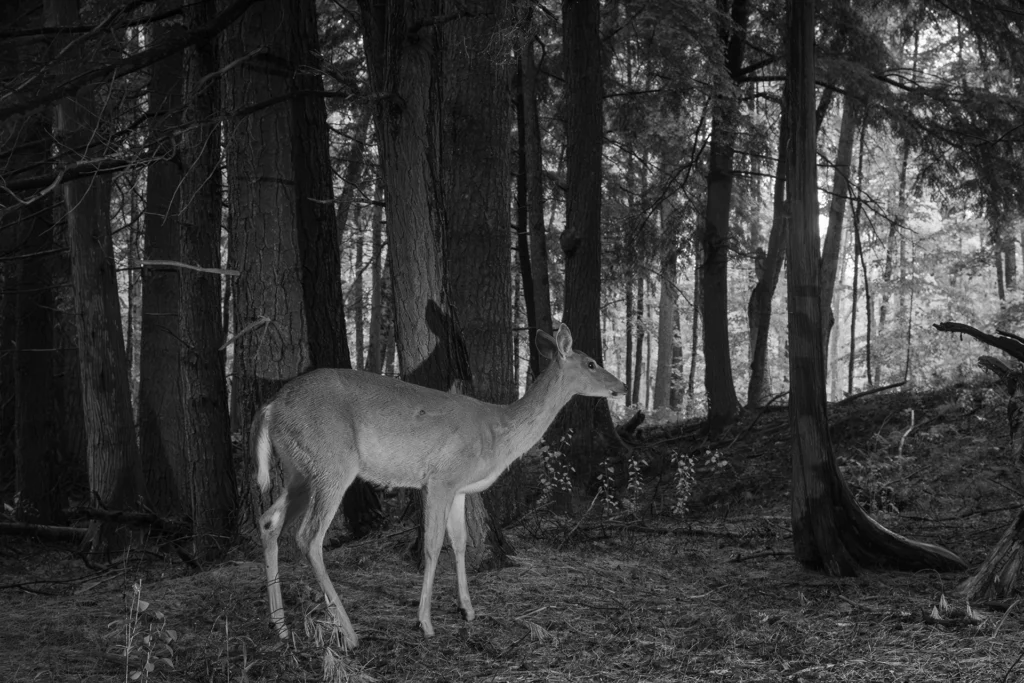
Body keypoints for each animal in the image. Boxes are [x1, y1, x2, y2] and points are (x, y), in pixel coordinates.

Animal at [253, 322, 626, 649]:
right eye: (591, 363)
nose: (621, 387)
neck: (497, 430)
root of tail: (270, 408)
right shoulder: (440, 478)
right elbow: (433, 546)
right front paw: (426, 623)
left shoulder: (459, 488)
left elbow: (460, 542)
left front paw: (467, 609)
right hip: (332, 462)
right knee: (309, 537)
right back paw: (348, 632)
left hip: (300, 471)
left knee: (269, 521)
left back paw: (280, 626)